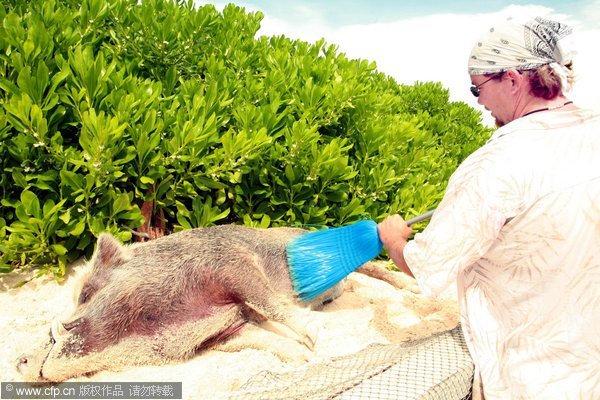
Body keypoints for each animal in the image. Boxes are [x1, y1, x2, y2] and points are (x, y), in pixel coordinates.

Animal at [16, 223, 414, 382]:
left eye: (85, 294)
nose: (19, 359)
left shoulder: (232, 265)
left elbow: (273, 304)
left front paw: (317, 339)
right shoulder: (226, 331)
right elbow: (262, 338)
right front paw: (301, 358)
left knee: (375, 268)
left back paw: (411, 289)